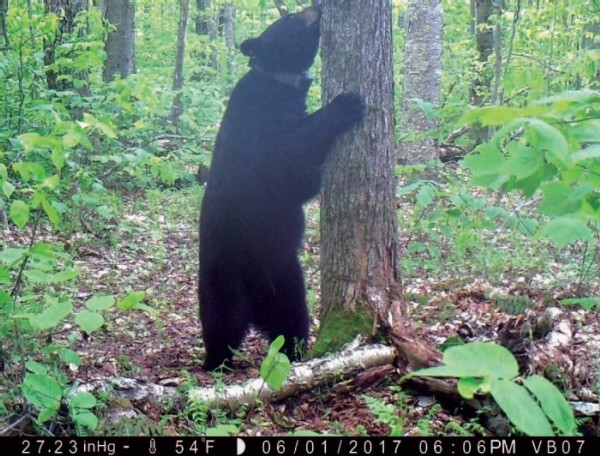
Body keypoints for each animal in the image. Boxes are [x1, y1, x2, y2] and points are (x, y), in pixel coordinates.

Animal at [199, 5, 364, 370]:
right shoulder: (255, 127)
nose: (318, 6)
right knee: (222, 320)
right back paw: (217, 361)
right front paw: (347, 103)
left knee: (293, 318)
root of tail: (259, 301)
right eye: (290, 19)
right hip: (224, 275)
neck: (279, 83)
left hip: (288, 278)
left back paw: (296, 351)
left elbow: (298, 184)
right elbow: (289, 150)